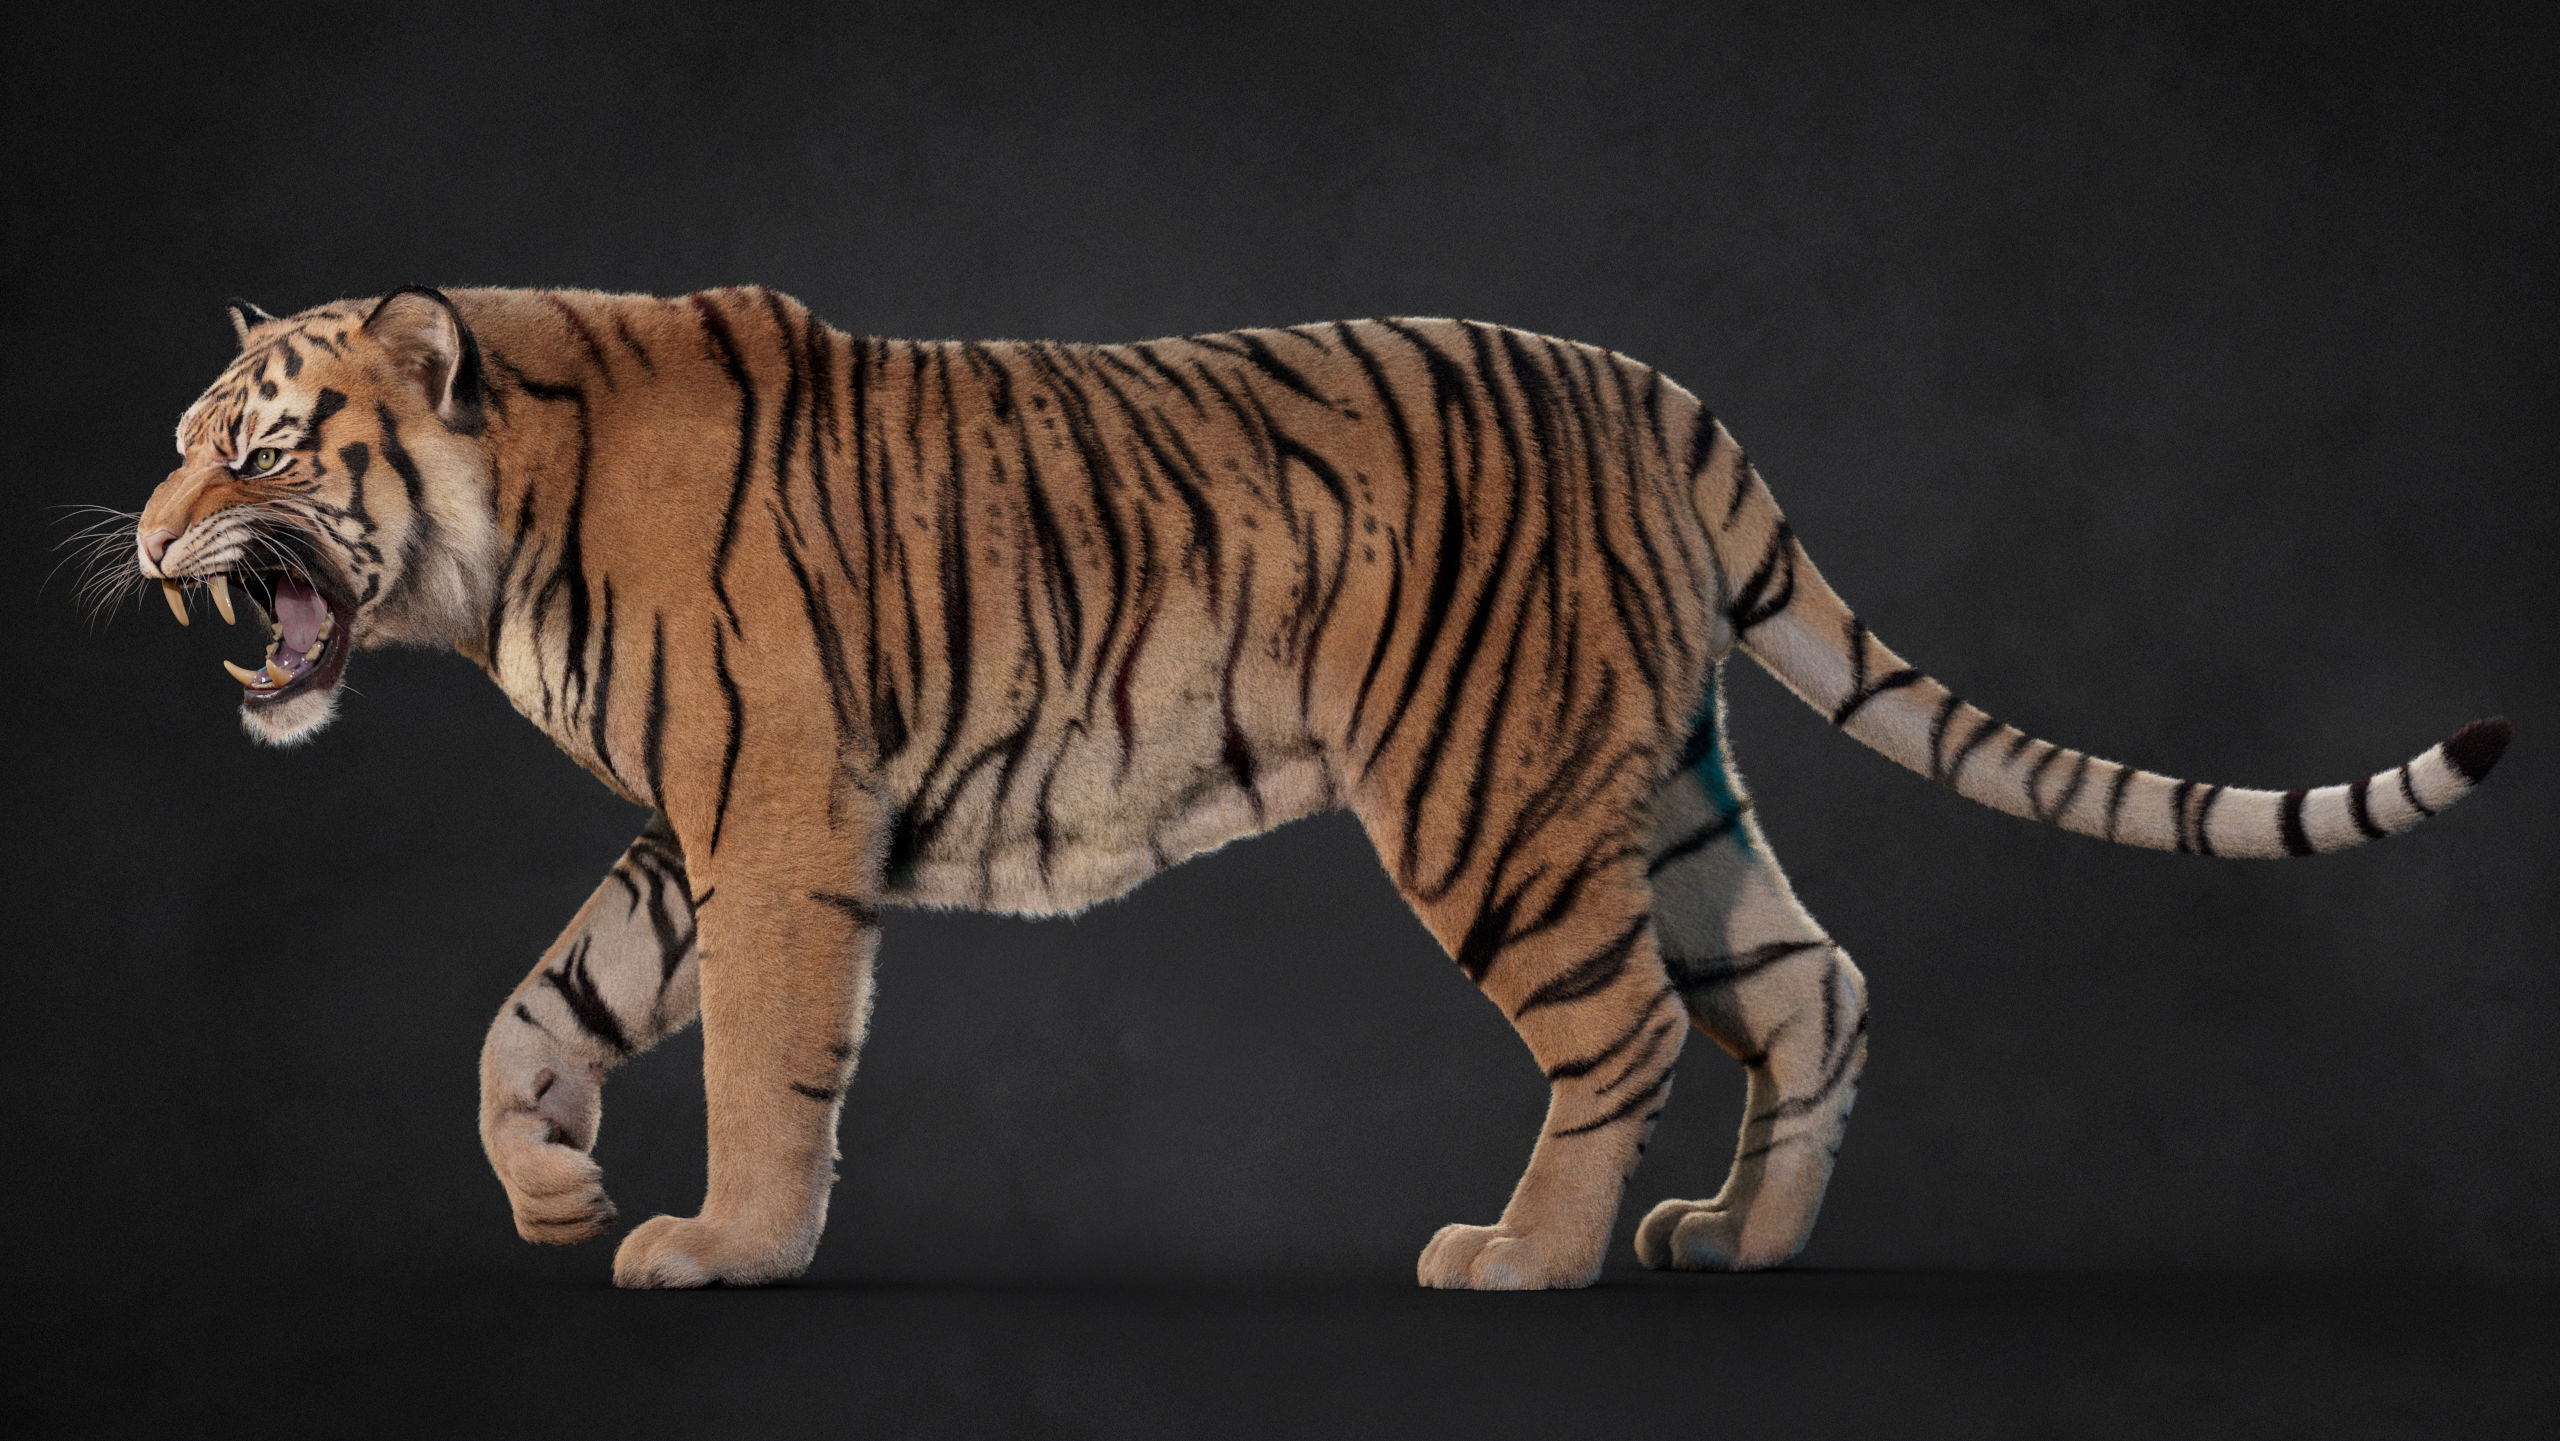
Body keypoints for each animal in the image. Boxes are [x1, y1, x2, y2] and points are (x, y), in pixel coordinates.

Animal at [120, 285, 2509, 1290]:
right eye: (182, 437)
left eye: (249, 448)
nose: (140, 547)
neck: (500, 539)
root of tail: (1654, 389)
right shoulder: (694, 826)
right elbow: (542, 1005)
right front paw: (548, 1194)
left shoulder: (778, 818)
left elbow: (763, 1060)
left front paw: (723, 1247)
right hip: (1656, 786)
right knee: (1808, 981)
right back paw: (1738, 1244)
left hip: (1494, 799)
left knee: (1627, 1026)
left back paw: (1524, 1261)